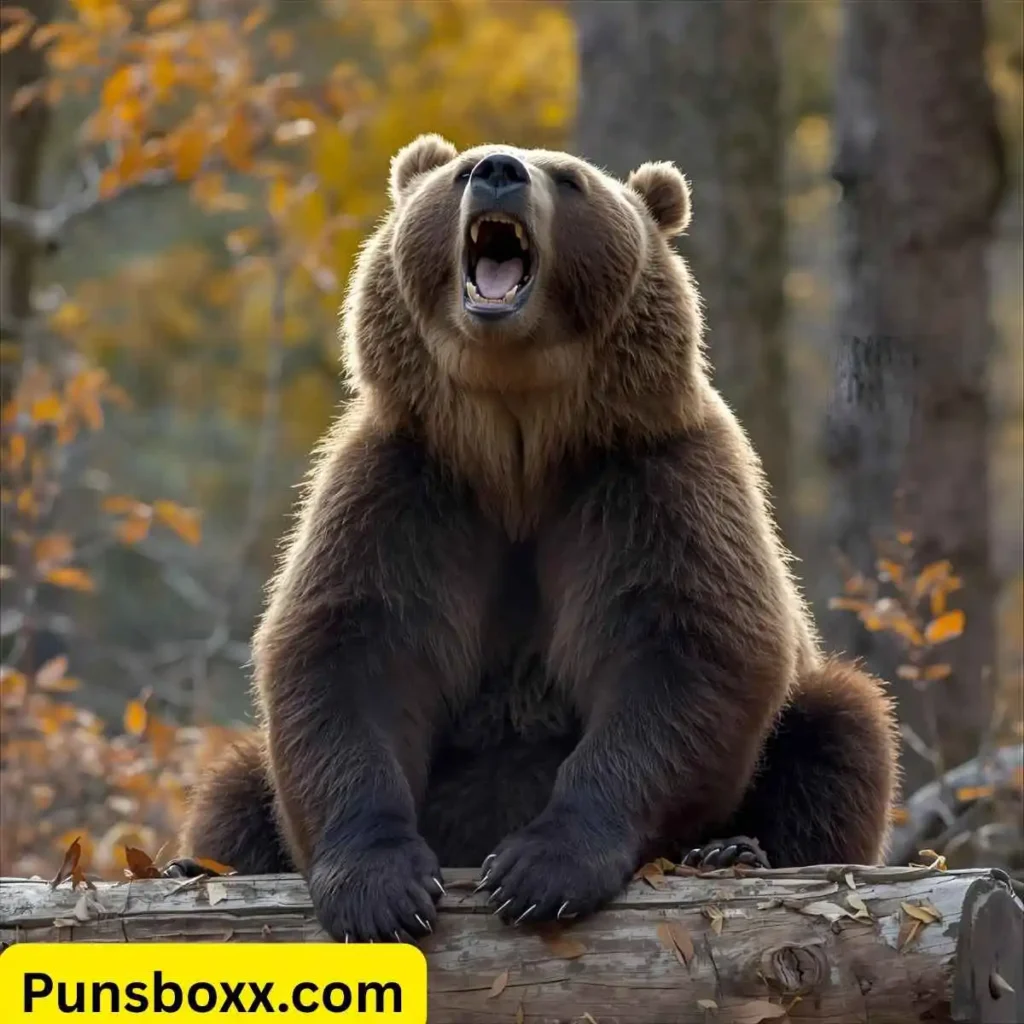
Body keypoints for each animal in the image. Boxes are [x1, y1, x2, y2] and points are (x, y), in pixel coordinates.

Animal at [168, 134, 900, 943]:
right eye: (460, 170)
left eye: (571, 180)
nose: (499, 170)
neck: (517, 440)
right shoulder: (406, 491)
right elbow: (350, 651)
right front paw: (381, 886)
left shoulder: (650, 483)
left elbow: (686, 651)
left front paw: (539, 870)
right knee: (237, 782)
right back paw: (191, 863)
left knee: (840, 729)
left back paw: (735, 851)